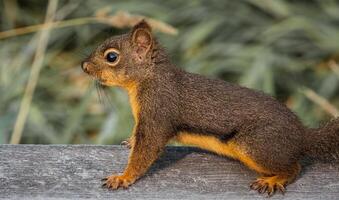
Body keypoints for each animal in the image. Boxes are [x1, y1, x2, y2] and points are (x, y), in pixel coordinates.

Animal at [81, 20, 339, 197]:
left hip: (256, 144)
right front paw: (130, 141)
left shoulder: (158, 111)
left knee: (294, 166)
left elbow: (146, 150)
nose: (84, 66)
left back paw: (273, 180)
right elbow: (138, 138)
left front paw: (123, 177)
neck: (148, 79)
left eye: (111, 57)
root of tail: (302, 135)